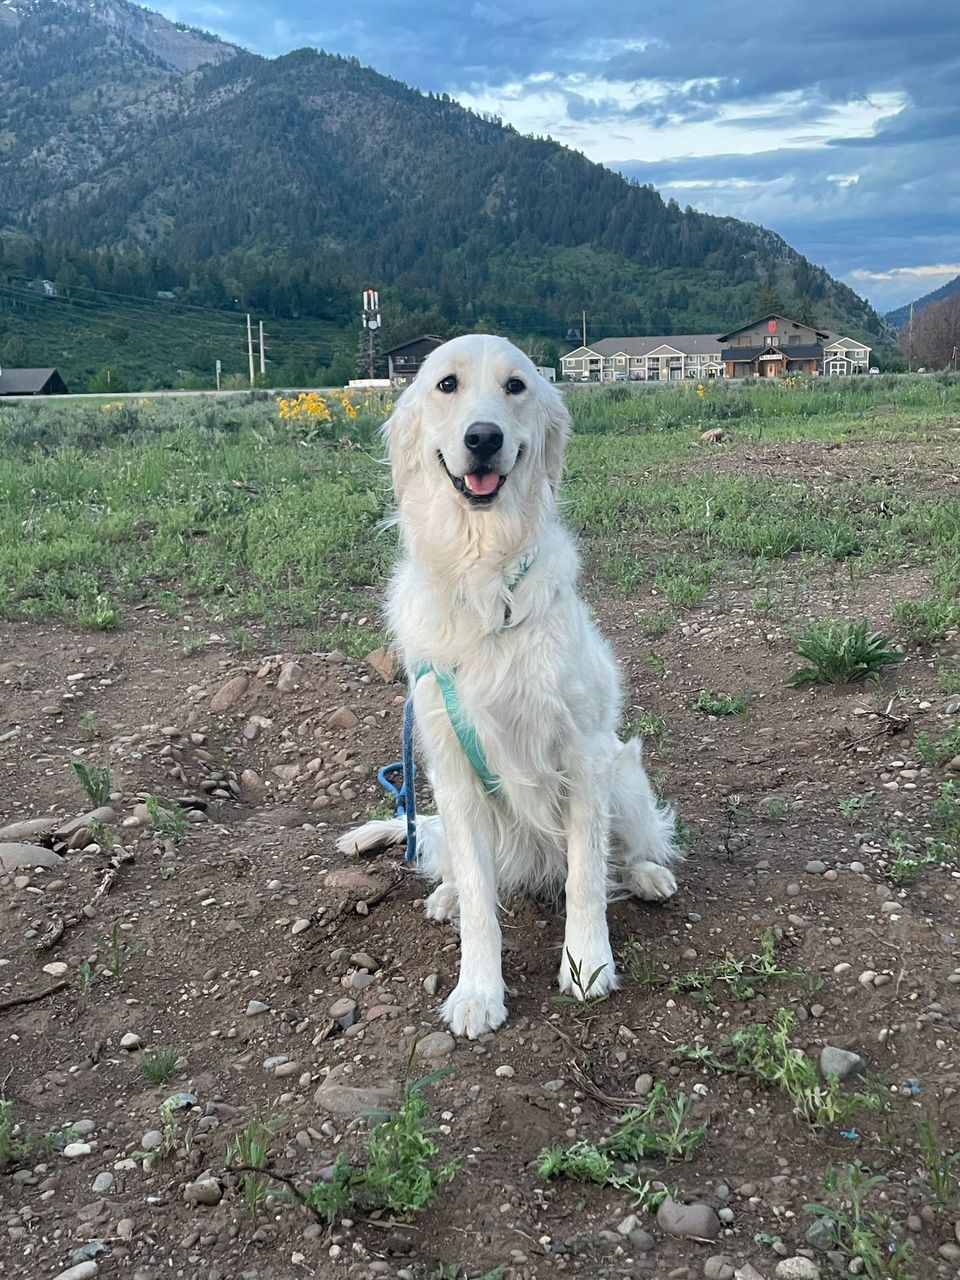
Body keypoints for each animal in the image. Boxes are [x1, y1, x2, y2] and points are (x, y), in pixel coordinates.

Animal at [336, 334, 678, 1037]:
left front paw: (588, 964)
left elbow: (585, 878)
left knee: (627, 848)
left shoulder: (583, 756)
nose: (484, 437)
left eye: (516, 386)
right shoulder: (452, 771)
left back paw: (648, 874)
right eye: (446, 385)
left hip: (624, 774)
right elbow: (479, 902)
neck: (484, 578)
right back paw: (443, 894)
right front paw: (478, 990)